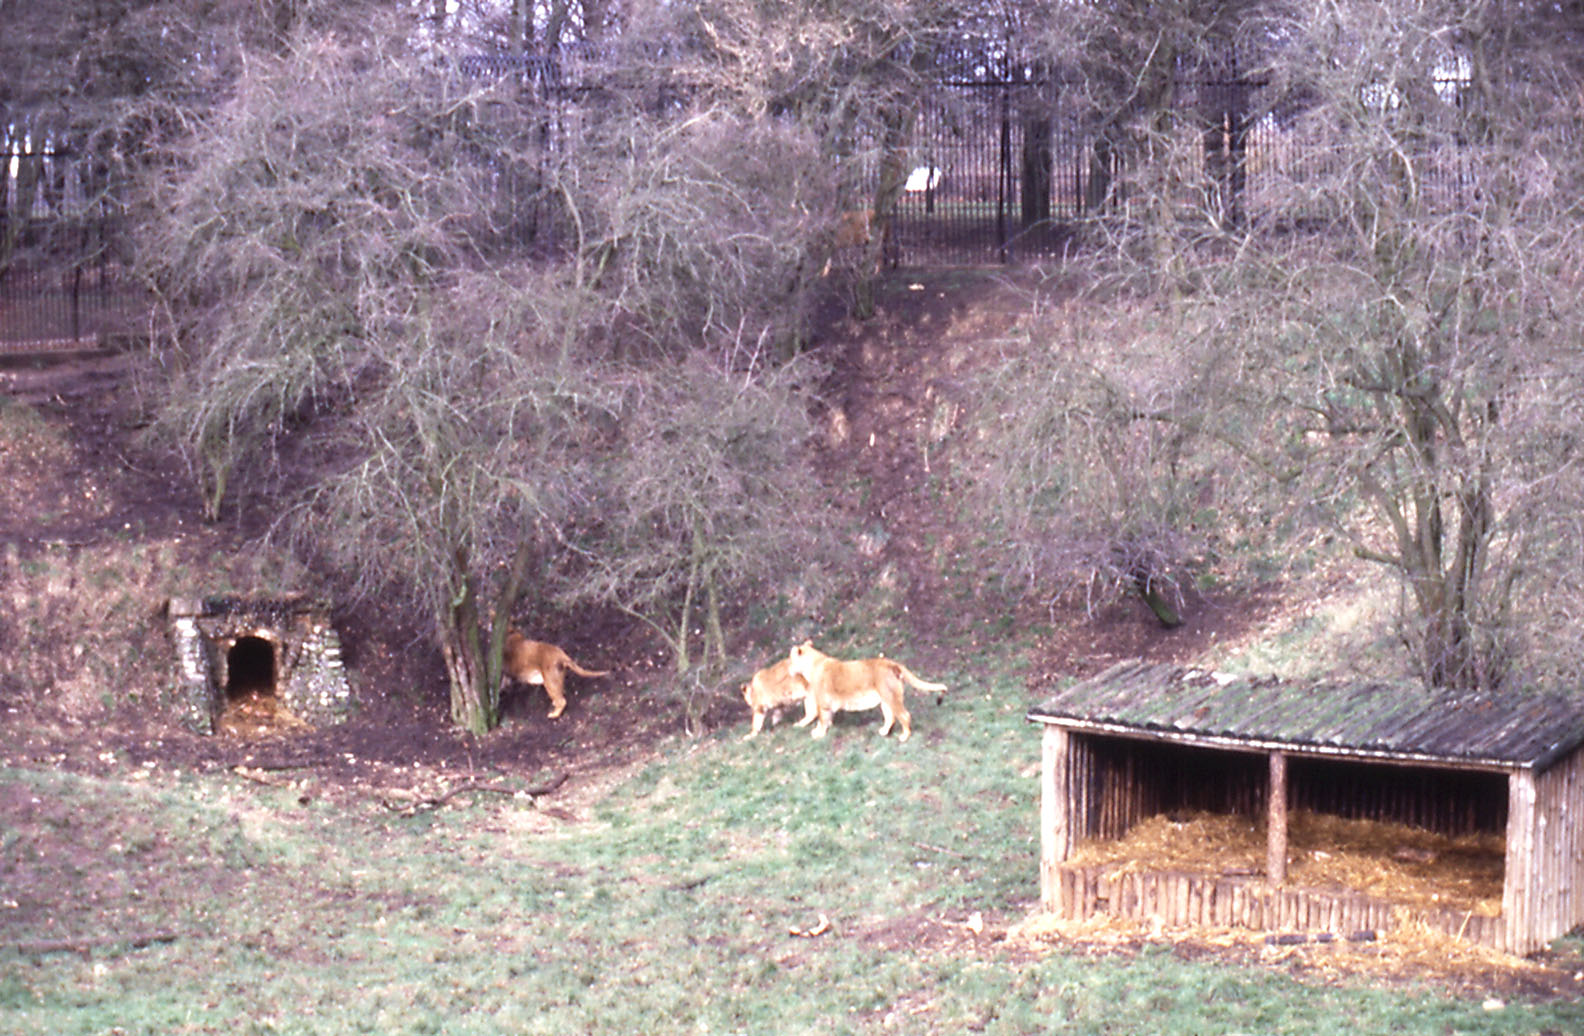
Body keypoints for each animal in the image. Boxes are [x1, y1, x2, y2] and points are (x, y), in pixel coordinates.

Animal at [785, 641, 947, 743]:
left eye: (790, 660)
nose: (788, 669)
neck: (812, 665)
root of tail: (891, 663)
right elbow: (824, 719)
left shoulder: (823, 704)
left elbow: (822, 720)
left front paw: (819, 734)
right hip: (885, 700)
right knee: (890, 718)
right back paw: (884, 732)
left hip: (892, 698)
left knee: (904, 715)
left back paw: (904, 737)